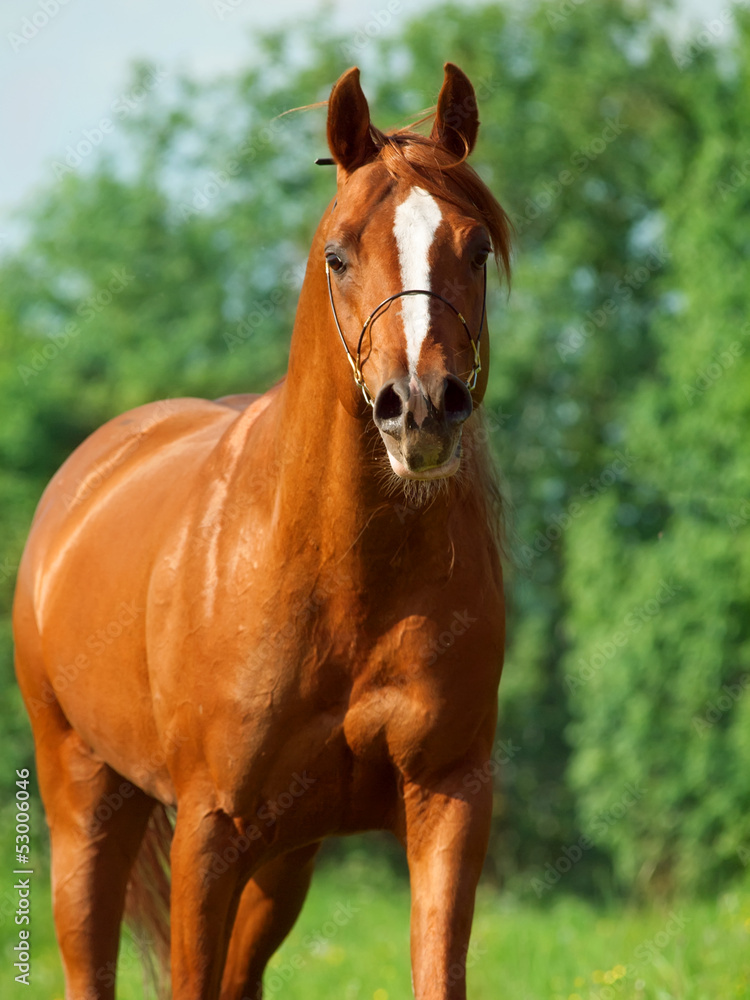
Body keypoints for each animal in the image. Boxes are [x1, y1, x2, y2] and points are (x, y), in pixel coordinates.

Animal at [13, 64, 512, 1000]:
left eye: (474, 248)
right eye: (338, 254)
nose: (421, 409)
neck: (342, 580)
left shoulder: (447, 800)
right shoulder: (210, 829)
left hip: (283, 858)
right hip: (84, 802)